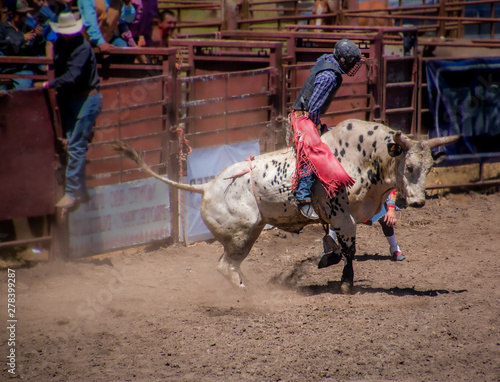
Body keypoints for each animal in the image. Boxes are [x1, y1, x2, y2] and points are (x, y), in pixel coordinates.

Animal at [114, 118, 460, 292]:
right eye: (410, 167)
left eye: (430, 167)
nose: (418, 201)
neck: (362, 157)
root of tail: (206, 186)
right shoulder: (340, 214)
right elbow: (348, 249)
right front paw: (345, 282)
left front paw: (330, 261)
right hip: (240, 235)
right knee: (225, 266)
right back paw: (245, 292)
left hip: (249, 233)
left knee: (230, 265)